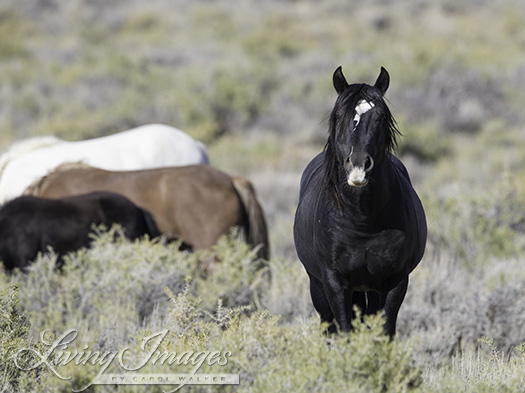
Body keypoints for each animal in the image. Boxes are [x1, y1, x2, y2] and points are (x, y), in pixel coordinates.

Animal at [292, 66, 428, 336]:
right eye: (339, 115)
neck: (363, 221)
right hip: (319, 286)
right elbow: (345, 331)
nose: (358, 167)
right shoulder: (334, 282)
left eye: (381, 117)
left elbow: (385, 331)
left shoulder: (395, 282)